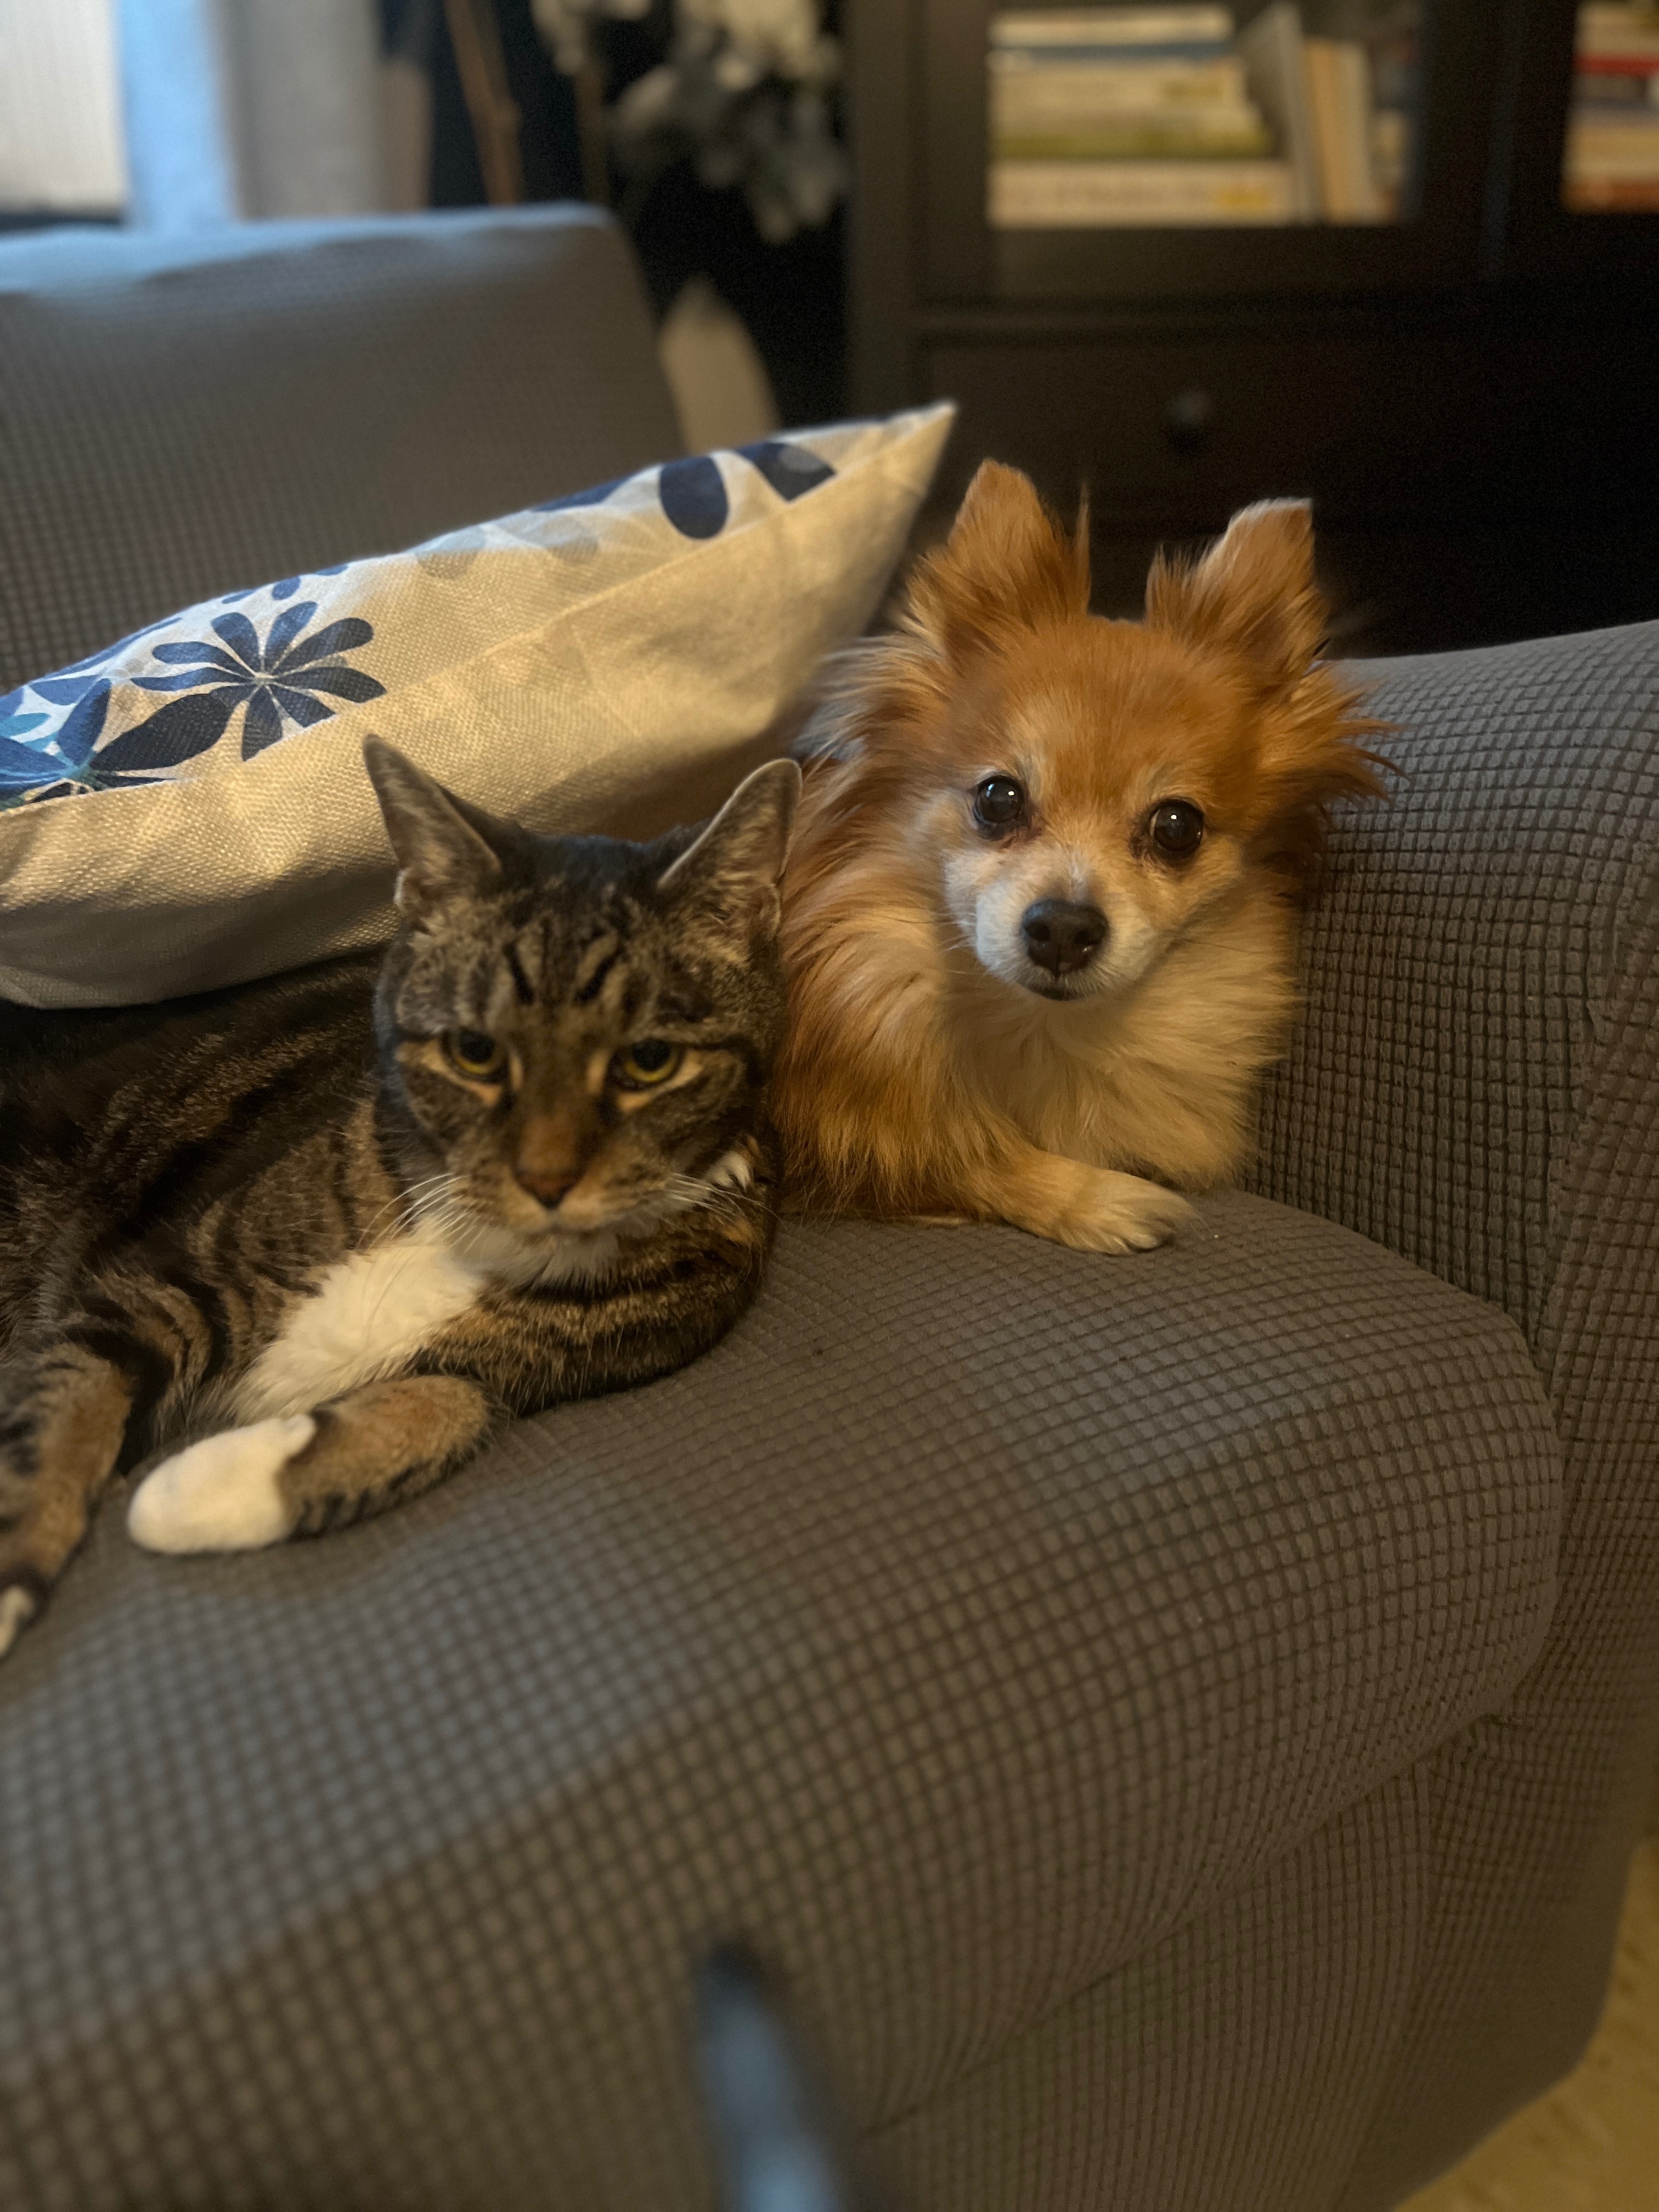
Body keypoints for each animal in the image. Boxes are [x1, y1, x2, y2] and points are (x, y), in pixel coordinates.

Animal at [0, 738, 800, 1661]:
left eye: (650, 1061)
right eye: (474, 1051)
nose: (547, 1179)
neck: (471, 1233)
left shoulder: (530, 1367)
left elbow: (449, 1402)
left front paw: (207, 1486)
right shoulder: (158, 1276)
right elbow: (67, 1410)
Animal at [770, 462, 1385, 1253]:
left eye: (1177, 827)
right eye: (998, 799)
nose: (1062, 927)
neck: (1045, 1032)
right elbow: (947, 1152)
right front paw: (1101, 1199)